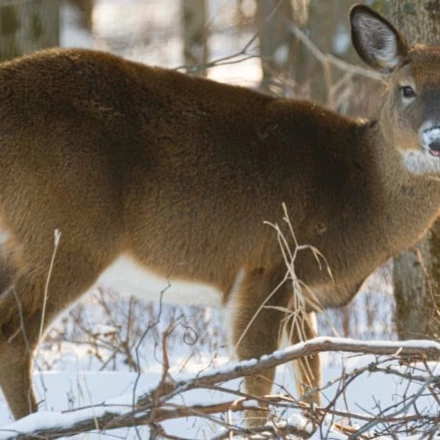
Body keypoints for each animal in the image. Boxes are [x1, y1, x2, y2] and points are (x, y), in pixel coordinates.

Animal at [0, 2, 440, 426]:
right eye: (406, 89)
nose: (434, 138)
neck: (359, 191)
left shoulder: (302, 295)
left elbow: (310, 370)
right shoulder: (269, 261)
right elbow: (258, 376)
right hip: (68, 234)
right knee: (13, 338)